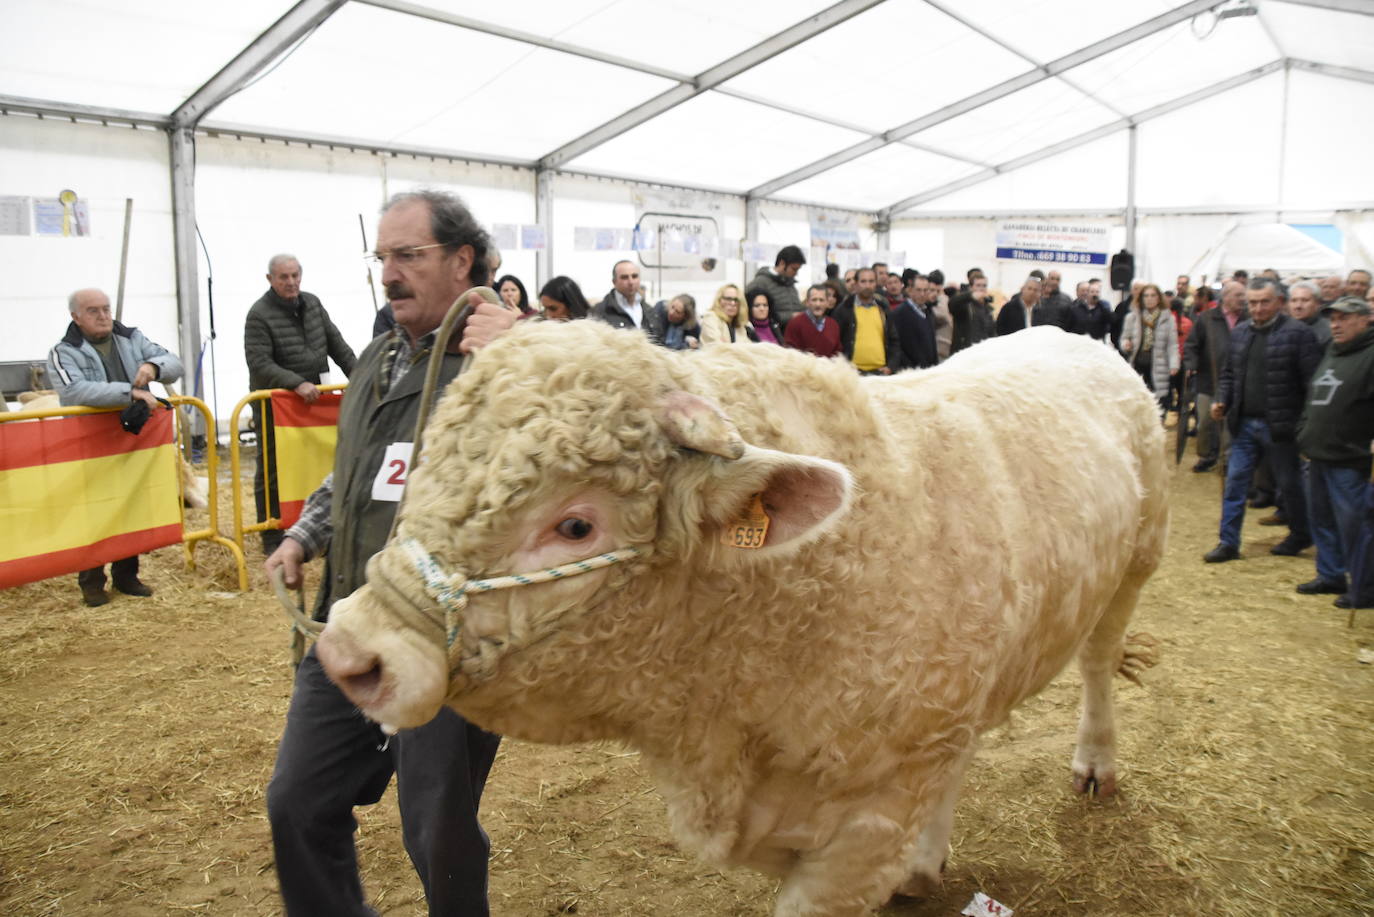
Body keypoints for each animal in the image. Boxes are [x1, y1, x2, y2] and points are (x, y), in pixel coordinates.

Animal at [318, 318, 1170, 912]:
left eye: (576, 524)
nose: (349, 652)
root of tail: (1076, 336)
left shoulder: (861, 829)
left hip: (1137, 559)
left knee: (1099, 660)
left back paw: (1095, 760)